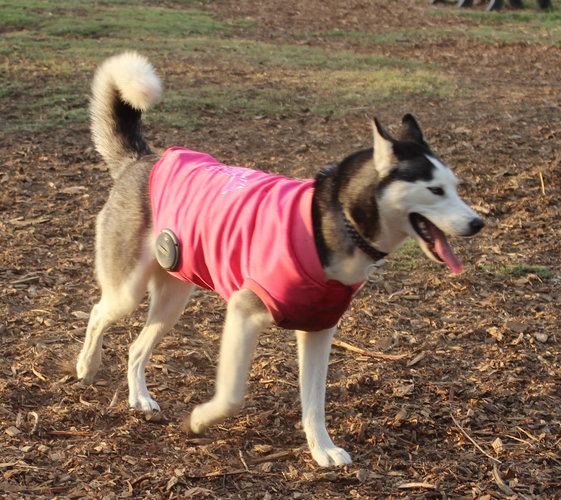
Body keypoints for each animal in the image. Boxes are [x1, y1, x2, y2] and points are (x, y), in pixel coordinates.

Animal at [76, 52, 484, 466]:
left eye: (455, 187)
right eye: (434, 190)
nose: (477, 223)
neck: (330, 220)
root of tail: (144, 160)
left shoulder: (319, 330)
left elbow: (314, 402)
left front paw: (322, 449)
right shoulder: (244, 312)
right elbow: (231, 396)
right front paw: (198, 420)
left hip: (173, 301)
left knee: (135, 348)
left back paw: (140, 398)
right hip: (128, 291)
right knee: (98, 313)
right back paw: (86, 366)